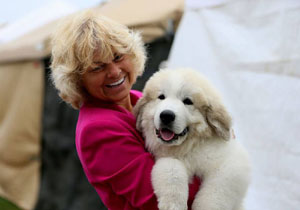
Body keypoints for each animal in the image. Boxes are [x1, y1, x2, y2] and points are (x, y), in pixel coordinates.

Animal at [134, 68, 251, 210]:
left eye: (188, 101)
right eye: (161, 97)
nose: (166, 115)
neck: (189, 147)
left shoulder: (231, 162)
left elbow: (217, 190)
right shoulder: (165, 157)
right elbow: (171, 170)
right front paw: (173, 204)